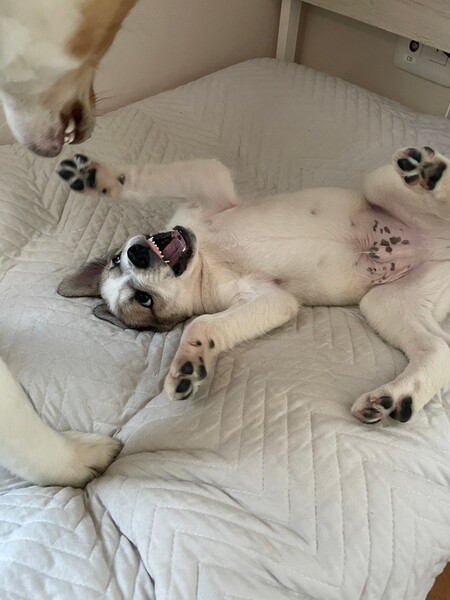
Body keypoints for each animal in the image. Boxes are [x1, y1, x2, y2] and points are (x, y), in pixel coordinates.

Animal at [57, 146, 450, 424]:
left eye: (115, 259)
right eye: (143, 299)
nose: (136, 252)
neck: (207, 261)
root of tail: (440, 245)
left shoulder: (208, 183)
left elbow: (143, 180)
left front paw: (98, 177)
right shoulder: (271, 299)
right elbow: (204, 323)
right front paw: (190, 362)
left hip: (380, 182)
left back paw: (427, 170)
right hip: (386, 302)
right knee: (437, 350)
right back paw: (393, 399)